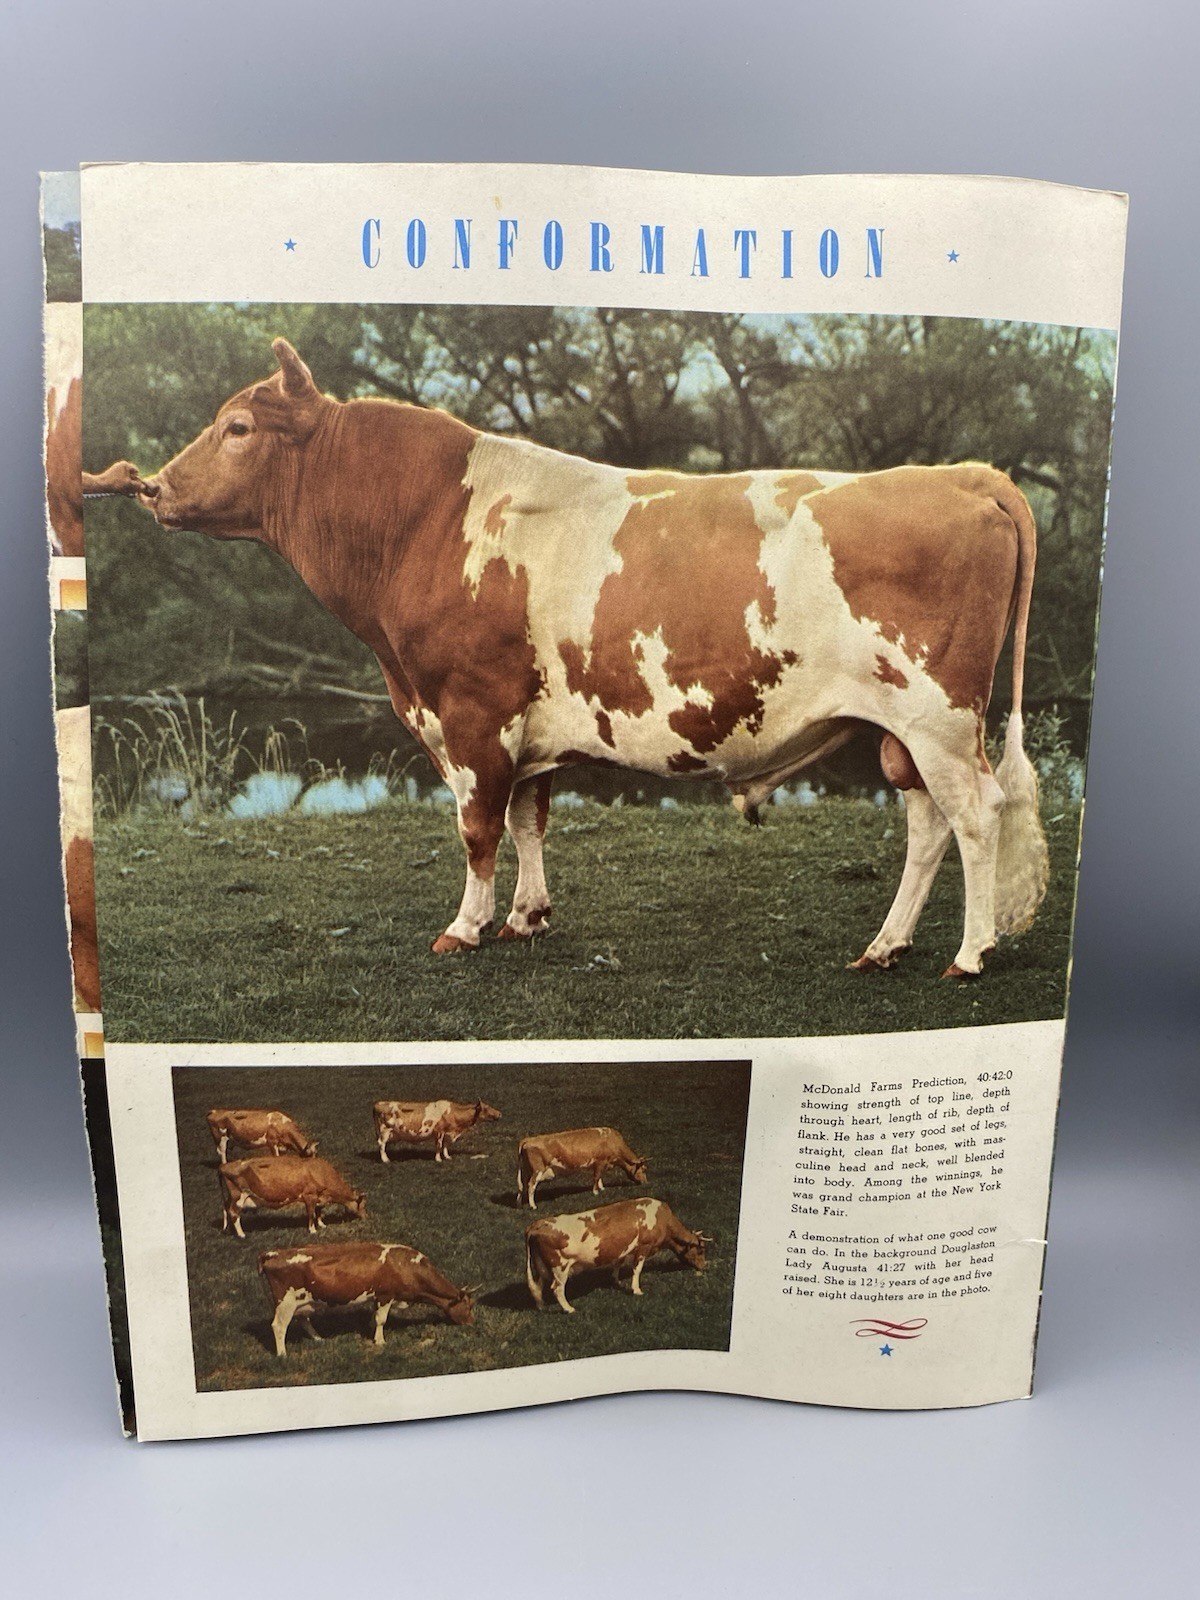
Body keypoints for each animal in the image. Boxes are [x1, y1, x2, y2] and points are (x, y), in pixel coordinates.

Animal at [99, 337, 1049, 977]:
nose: (152, 487)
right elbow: (529, 819)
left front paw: (467, 927)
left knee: (975, 816)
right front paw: (528, 916)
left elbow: (478, 827)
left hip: (937, 715)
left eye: (237, 427)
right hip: (896, 729)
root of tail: (965, 474)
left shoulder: (470, 712)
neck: (425, 519)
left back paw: (969, 954)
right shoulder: (526, 720)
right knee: (926, 825)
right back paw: (885, 945)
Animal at [218, 1155, 365, 1238]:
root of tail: (224, 1165)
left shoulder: (318, 1197)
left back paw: (227, 1229)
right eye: (363, 1204)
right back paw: (241, 1234)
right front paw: (313, 1230)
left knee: (225, 1208)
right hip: (238, 1196)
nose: (366, 1216)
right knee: (234, 1213)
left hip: (231, 1197)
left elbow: (319, 1212)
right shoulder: (309, 1195)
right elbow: (311, 1214)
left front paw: (322, 1225)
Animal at [258, 1240, 475, 1357]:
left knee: (303, 1319)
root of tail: (272, 1253)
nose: (473, 1323)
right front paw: (380, 1341)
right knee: (279, 1326)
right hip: (285, 1302)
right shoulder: (386, 1295)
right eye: (469, 1306)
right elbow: (382, 1319)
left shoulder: (377, 1298)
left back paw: (319, 1338)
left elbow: (374, 1317)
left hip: (301, 1302)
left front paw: (371, 1331)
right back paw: (282, 1354)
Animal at [517, 1126, 647, 1208]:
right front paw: (595, 1192)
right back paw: (533, 1206)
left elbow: (599, 1177)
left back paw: (520, 1203)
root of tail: (529, 1139)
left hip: (525, 1170)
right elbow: (596, 1177)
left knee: (522, 1185)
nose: (645, 1182)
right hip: (538, 1170)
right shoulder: (600, 1161)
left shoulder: (599, 1164)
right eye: (643, 1169)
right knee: (531, 1185)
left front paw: (602, 1188)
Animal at [525, 1196, 711, 1313]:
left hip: (540, 1265)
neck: (661, 1218)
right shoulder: (643, 1247)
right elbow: (637, 1270)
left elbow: (618, 1263)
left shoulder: (623, 1249)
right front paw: (636, 1290)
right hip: (560, 1266)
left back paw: (541, 1306)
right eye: (700, 1250)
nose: (704, 1266)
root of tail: (537, 1224)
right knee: (557, 1288)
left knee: (537, 1285)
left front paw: (616, 1280)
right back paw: (569, 1309)